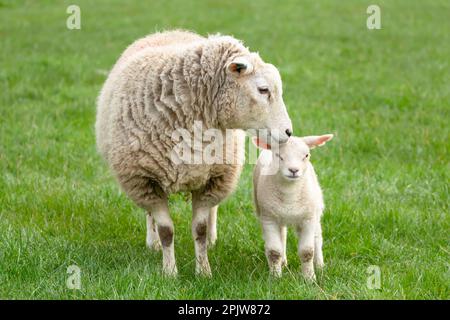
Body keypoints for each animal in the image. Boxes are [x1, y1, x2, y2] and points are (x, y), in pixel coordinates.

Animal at [95, 29, 292, 276]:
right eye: (263, 90)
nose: (288, 132)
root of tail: (170, 31)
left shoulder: (212, 179)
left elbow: (200, 228)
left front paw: (204, 271)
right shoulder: (144, 180)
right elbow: (166, 230)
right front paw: (170, 272)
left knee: (213, 211)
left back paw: (211, 240)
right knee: (149, 215)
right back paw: (153, 243)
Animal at [253, 134, 334, 278]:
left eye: (306, 155)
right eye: (278, 155)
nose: (293, 170)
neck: (289, 193)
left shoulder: (308, 219)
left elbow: (307, 252)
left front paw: (309, 278)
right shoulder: (269, 218)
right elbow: (274, 252)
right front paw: (275, 277)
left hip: (316, 210)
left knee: (317, 237)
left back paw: (320, 266)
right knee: (282, 236)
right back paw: (283, 263)